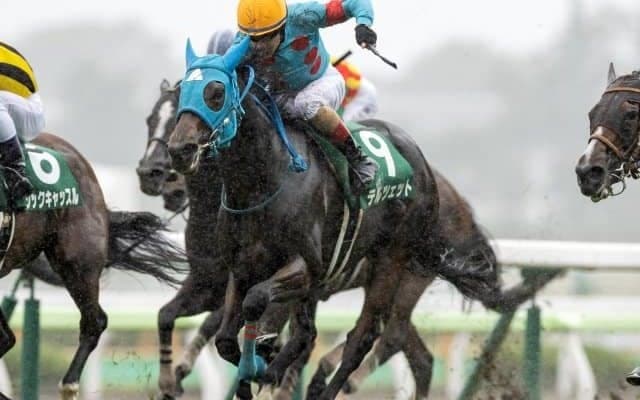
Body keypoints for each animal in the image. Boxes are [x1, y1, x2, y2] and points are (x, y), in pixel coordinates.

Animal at [167, 40, 558, 399]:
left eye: (216, 93)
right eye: (182, 92)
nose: (178, 151)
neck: (264, 180)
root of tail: (428, 170)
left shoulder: (305, 266)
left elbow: (257, 306)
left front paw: (264, 365)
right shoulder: (241, 267)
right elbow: (227, 339)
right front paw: (257, 367)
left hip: (395, 261)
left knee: (366, 334)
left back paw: (324, 386)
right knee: (374, 343)